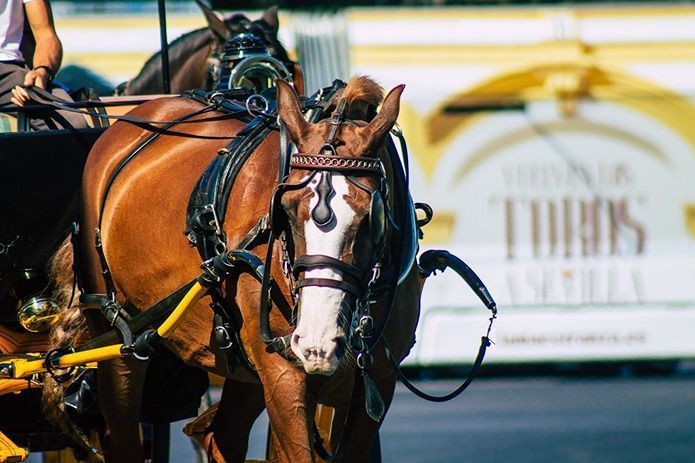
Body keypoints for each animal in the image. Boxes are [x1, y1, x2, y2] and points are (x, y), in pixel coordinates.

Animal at [45, 75, 420, 462]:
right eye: (285, 209)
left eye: (372, 217)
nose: (317, 341)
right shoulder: (284, 375)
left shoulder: (377, 384)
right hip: (119, 340)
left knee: (224, 436)